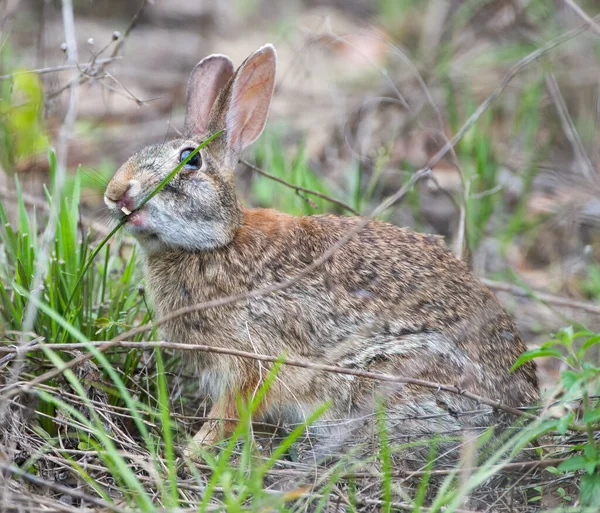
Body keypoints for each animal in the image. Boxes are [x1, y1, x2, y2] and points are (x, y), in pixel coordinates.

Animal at [104, 45, 540, 464]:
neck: (216, 243)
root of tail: (520, 414)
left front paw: (190, 451)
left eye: (190, 160)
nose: (115, 193)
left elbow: (229, 413)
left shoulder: (251, 357)